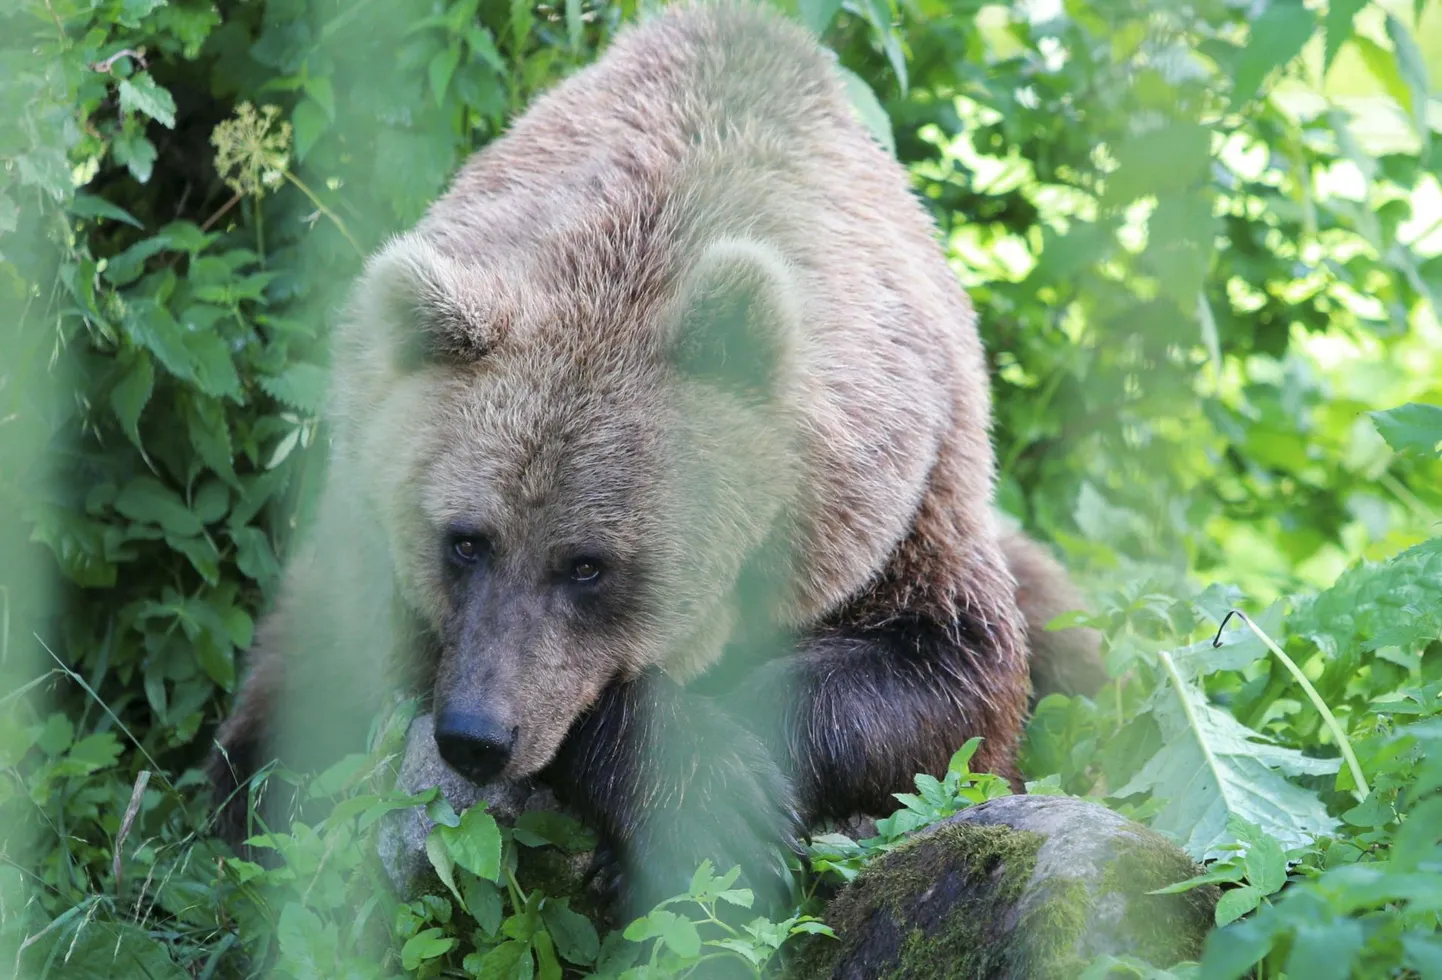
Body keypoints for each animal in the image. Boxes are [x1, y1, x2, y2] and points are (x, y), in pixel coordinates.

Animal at [206, 0, 1101, 916]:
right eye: (464, 540)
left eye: (588, 564)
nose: (476, 735)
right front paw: (712, 795)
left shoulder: (906, 498)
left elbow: (954, 673)